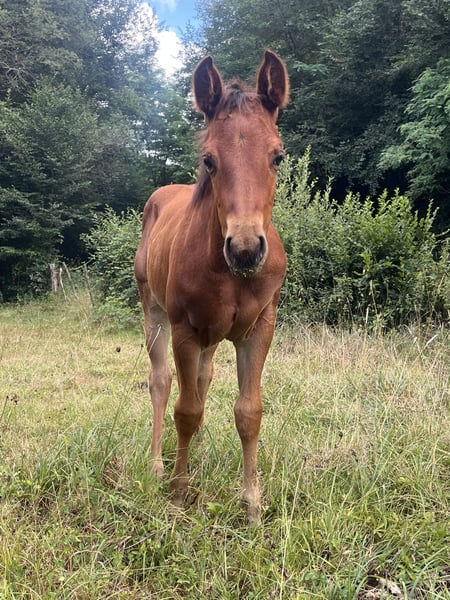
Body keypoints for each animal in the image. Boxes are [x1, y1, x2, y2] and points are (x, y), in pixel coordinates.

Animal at [134, 50, 289, 525]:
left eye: (278, 157)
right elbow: (185, 409)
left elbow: (248, 411)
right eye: (208, 159)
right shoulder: (185, 328)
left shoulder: (259, 329)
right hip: (154, 312)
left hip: (213, 335)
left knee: (202, 378)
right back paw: (157, 464)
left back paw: (198, 453)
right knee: (163, 381)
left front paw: (252, 504)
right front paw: (179, 492)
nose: (245, 248)